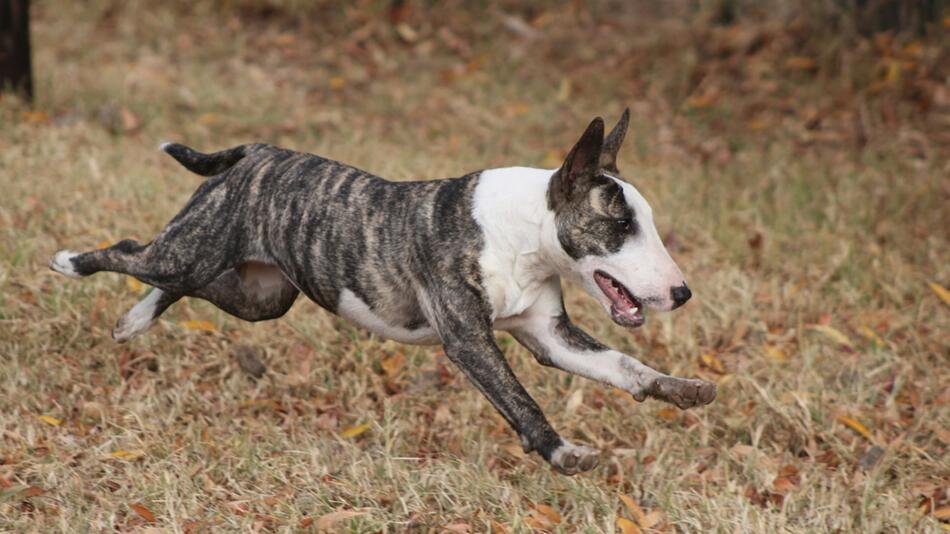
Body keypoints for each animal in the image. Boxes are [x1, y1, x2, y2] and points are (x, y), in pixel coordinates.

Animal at [50, 111, 712, 476]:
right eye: (620, 225)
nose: (681, 293)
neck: (522, 232)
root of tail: (254, 153)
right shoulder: (469, 341)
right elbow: (522, 401)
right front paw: (561, 453)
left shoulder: (551, 336)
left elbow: (622, 365)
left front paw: (679, 389)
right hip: (189, 252)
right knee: (133, 251)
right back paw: (71, 263)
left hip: (261, 298)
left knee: (184, 286)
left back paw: (134, 320)